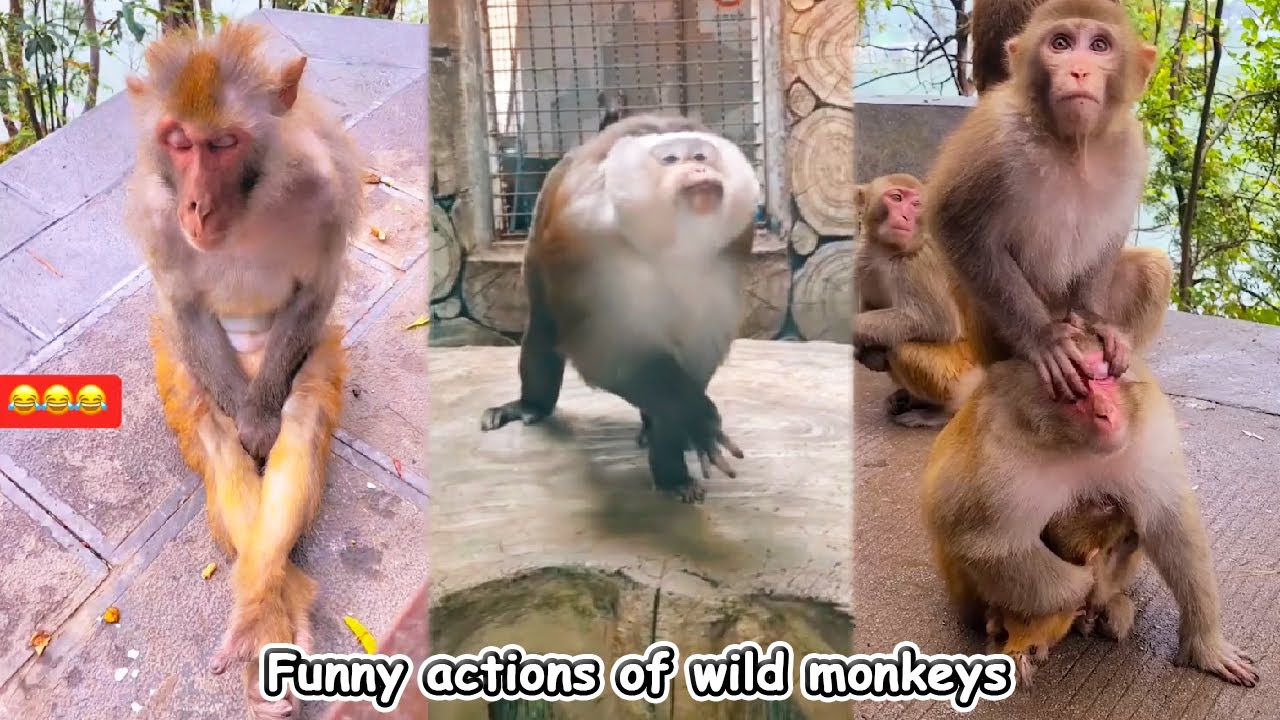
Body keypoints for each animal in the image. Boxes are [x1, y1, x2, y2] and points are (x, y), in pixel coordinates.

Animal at [123, 22, 361, 718]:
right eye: (178, 141)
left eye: (224, 143)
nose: (197, 208)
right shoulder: (157, 213)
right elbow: (183, 304)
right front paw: (244, 427)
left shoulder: (329, 187)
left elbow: (316, 289)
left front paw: (261, 426)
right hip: (181, 373)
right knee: (215, 440)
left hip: (313, 359)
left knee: (299, 423)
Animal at [479, 114, 759, 503]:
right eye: (671, 159)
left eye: (701, 155)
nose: (699, 167)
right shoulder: (583, 237)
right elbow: (605, 355)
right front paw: (693, 422)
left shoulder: (728, 251)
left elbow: (697, 348)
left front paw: (671, 450)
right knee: (543, 331)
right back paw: (532, 405)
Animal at [853, 173, 983, 428]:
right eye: (896, 198)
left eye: (916, 205)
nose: (906, 216)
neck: (888, 252)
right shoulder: (863, 258)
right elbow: (872, 306)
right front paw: (867, 353)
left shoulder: (918, 264)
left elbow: (935, 322)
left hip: (964, 374)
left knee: (901, 349)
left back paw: (938, 412)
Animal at [921, 326, 1260, 688]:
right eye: (1077, 390)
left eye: (1103, 377)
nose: (1106, 412)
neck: (1079, 444)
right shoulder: (999, 464)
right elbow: (983, 544)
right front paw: (1083, 585)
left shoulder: (1147, 431)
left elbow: (1169, 520)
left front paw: (1204, 645)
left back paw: (1109, 605)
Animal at [927, 0, 1165, 402]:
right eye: (1061, 43)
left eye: (1099, 46)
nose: (1079, 70)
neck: (1071, 144)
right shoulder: (996, 135)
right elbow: (953, 222)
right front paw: (1043, 339)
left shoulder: (1130, 147)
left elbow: (1112, 233)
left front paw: (1094, 319)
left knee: (1154, 267)